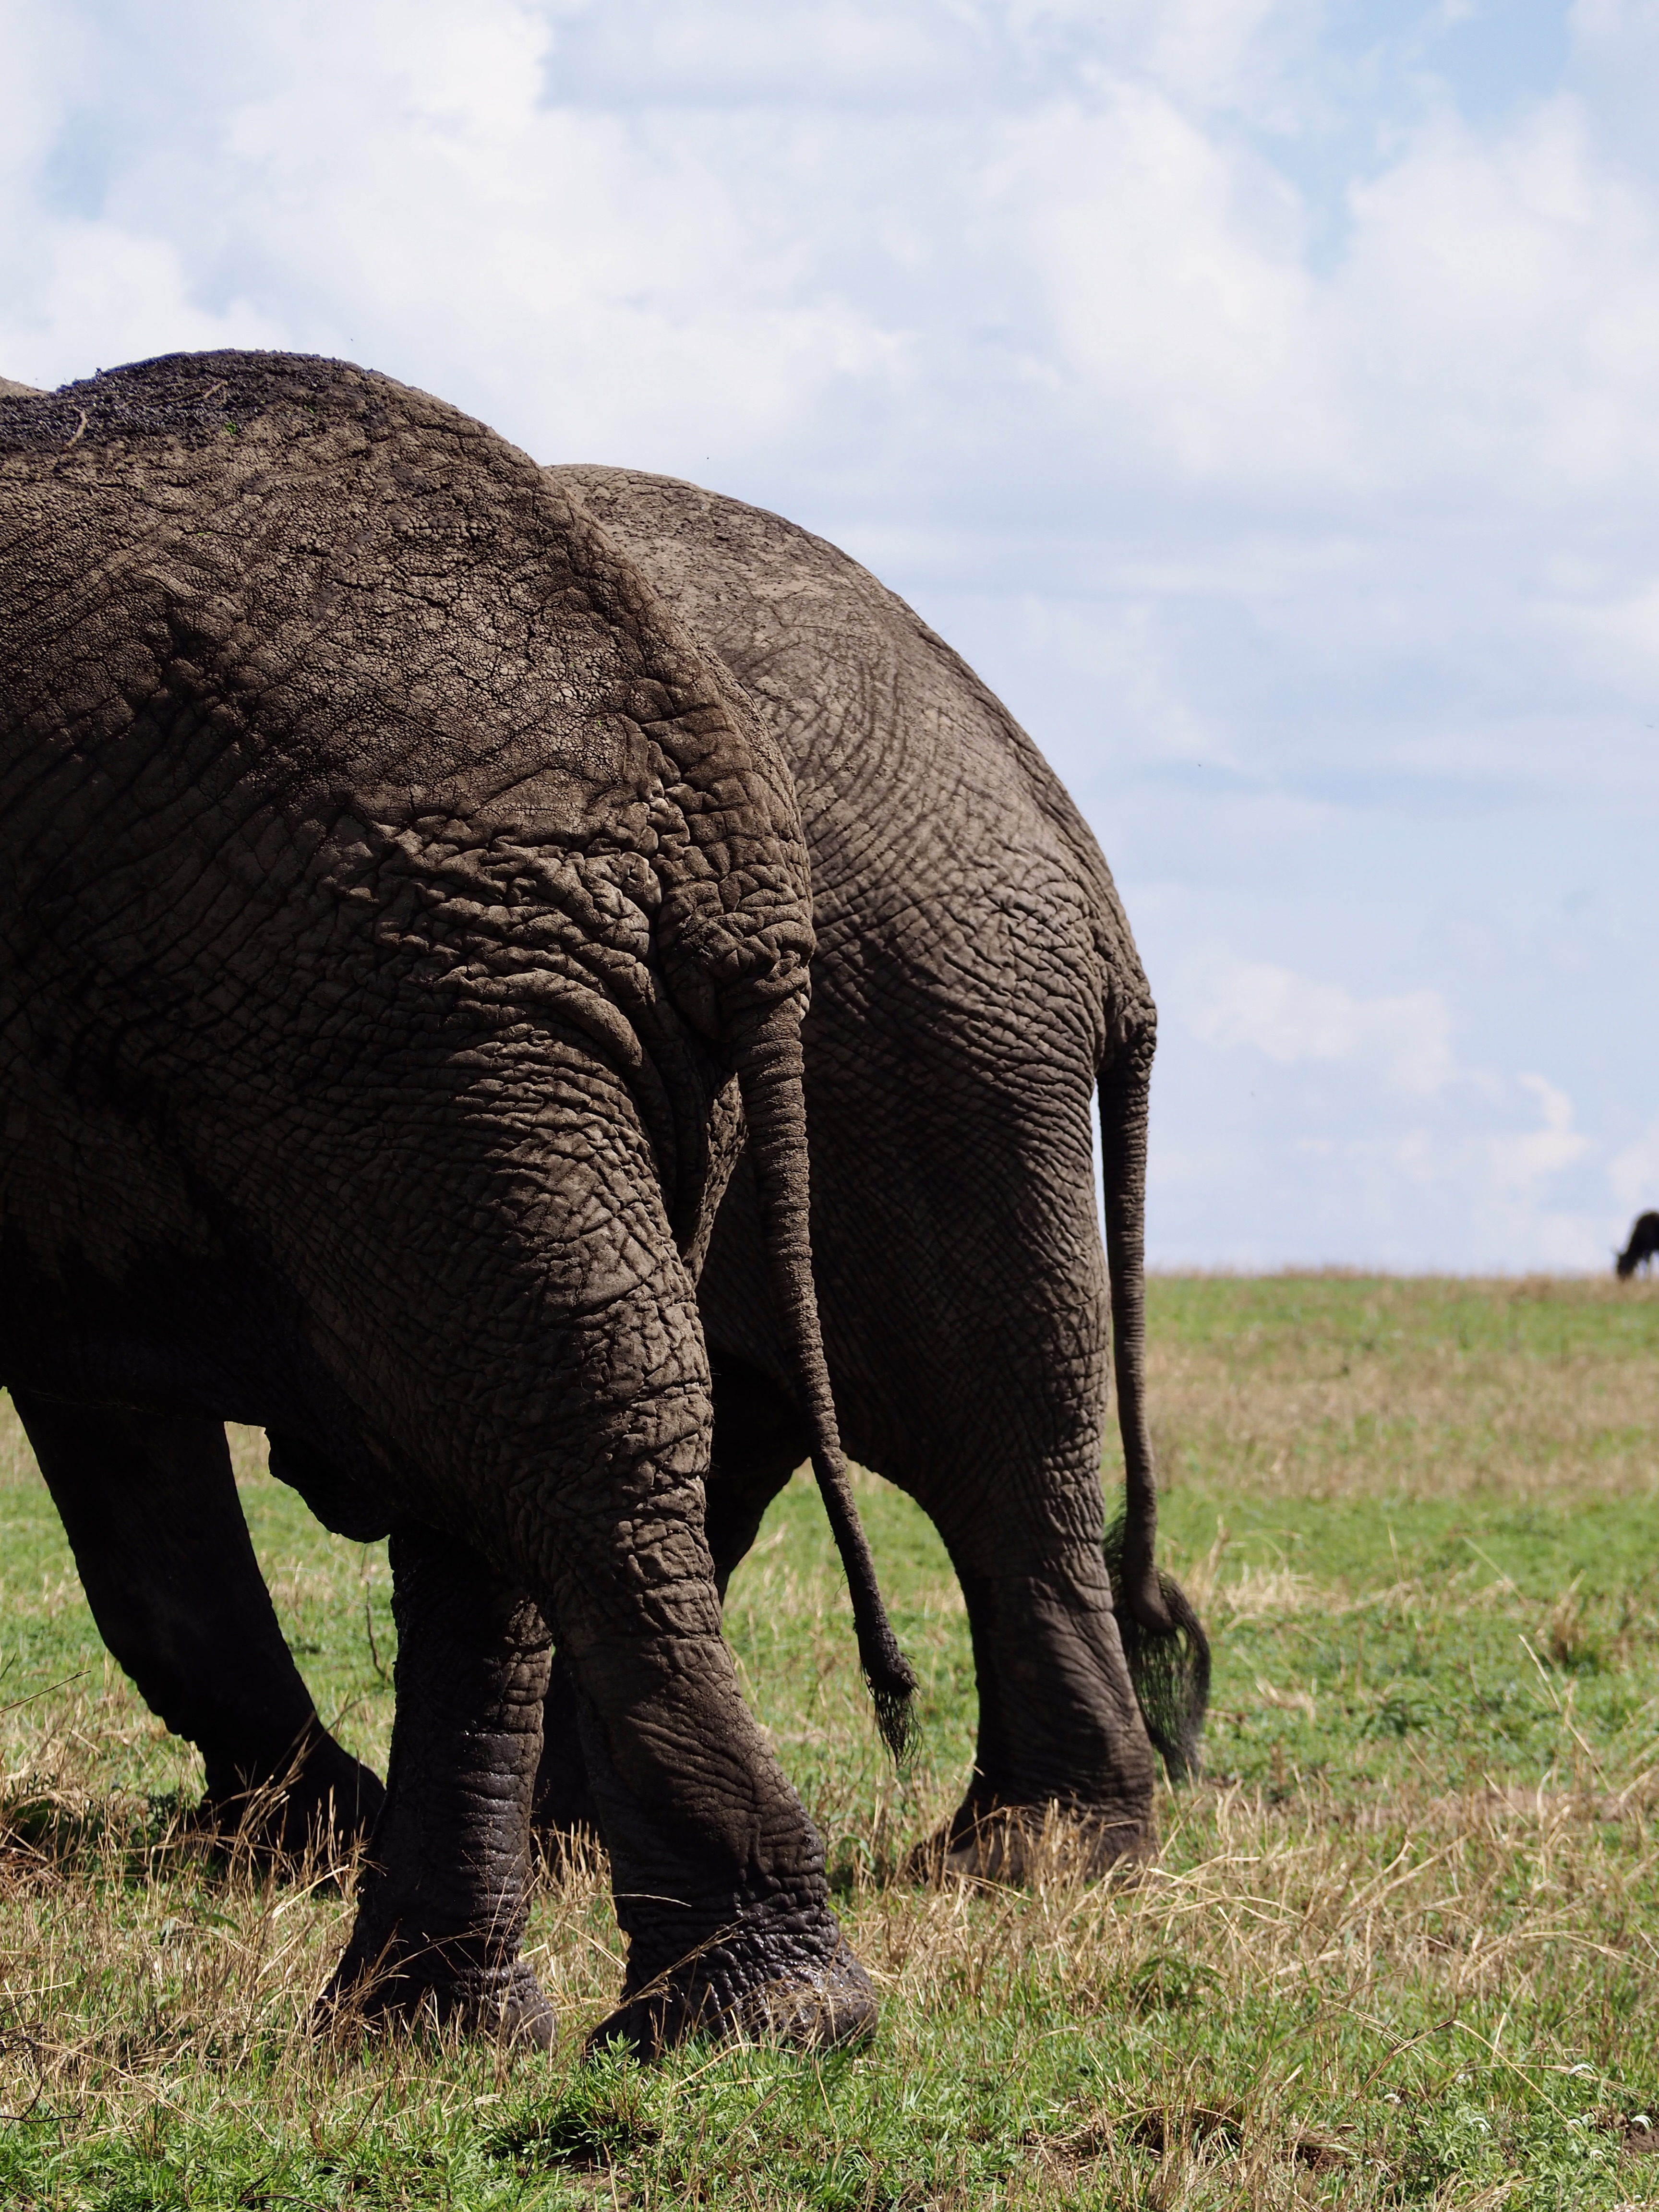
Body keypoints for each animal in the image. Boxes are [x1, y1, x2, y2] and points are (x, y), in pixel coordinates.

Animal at [0, 349, 915, 2053]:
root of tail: (715, 816)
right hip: (507, 1031)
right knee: (491, 1482)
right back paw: (434, 2027)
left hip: (407, 1010)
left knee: (558, 1449)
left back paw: (743, 2022)